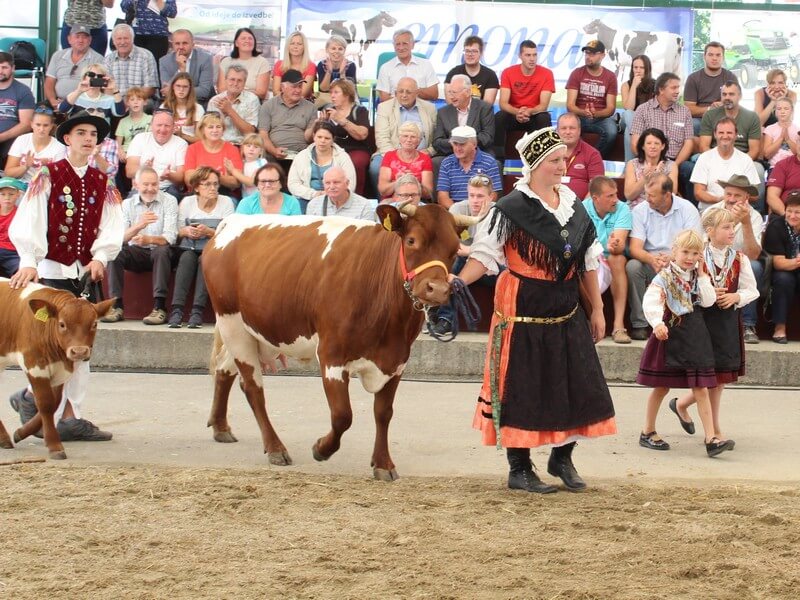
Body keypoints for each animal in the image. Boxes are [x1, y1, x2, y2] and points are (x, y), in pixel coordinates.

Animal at [0, 282, 114, 460]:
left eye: (94, 324)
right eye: (62, 324)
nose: (79, 351)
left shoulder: (61, 372)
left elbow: (54, 403)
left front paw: (21, 432)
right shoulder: (34, 365)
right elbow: (45, 403)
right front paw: (54, 446)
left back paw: (4, 439)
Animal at [203, 204, 478, 480]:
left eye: (455, 249)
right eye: (411, 241)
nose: (438, 290)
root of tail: (233, 221)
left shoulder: (397, 360)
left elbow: (384, 413)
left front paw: (383, 463)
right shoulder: (331, 355)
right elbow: (342, 415)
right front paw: (321, 448)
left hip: (258, 332)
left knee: (225, 370)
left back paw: (220, 427)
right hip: (233, 325)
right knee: (252, 387)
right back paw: (275, 448)